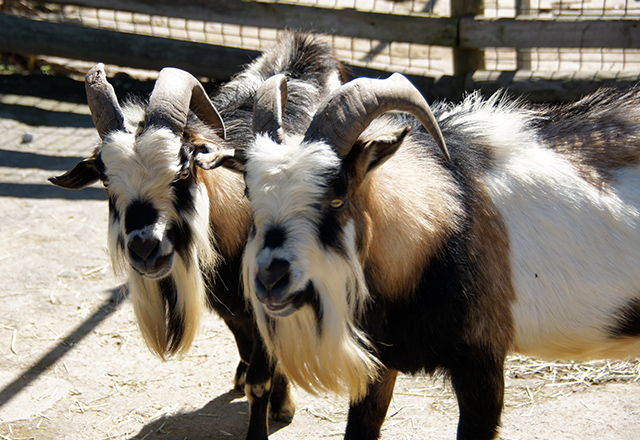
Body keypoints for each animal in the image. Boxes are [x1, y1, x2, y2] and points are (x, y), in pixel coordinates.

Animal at [48, 31, 344, 440]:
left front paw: (276, 409)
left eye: (184, 167)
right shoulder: (231, 308)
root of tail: (306, 47)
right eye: (106, 180)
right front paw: (274, 396)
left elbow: (260, 379)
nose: (145, 248)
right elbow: (248, 351)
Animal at [214, 74, 640, 438]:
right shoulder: (380, 363)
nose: (270, 279)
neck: (446, 226)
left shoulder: (482, 365)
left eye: (338, 196)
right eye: (250, 194)